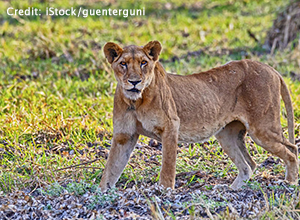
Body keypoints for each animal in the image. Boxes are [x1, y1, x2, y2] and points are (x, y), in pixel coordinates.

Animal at [99, 40, 298, 192]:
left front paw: (164, 191)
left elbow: (168, 166)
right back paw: (231, 190)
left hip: (262, 128)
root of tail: (271, 69)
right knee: (249, 165)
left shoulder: (171, 126)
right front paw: (101, 193)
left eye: (143, 63)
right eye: (123, 64)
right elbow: (111, 167)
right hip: (227, 135)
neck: (136, 102)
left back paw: (289, 183)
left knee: (291, 150)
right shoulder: (124, 135)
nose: (134, 81)